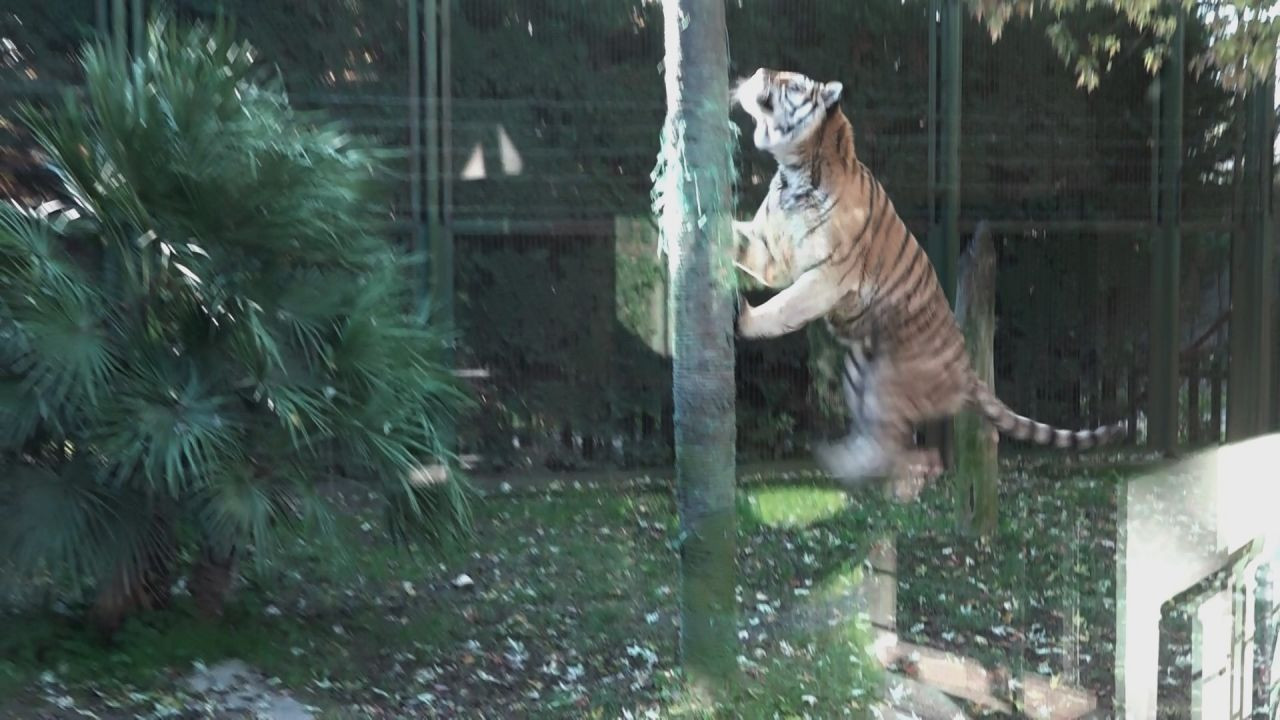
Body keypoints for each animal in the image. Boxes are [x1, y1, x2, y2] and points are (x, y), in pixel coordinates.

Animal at [732, 67, 1131, 491]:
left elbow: (783, 307)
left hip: (887, 386)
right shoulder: (771, 251)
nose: (760, 71)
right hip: (859, 374)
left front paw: (746, 320)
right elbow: (735, 241)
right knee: (888, 446)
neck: (793, 172)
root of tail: (967, 370)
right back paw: (842, 464)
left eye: (792, 84)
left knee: (908, 452)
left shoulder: (826, 276)